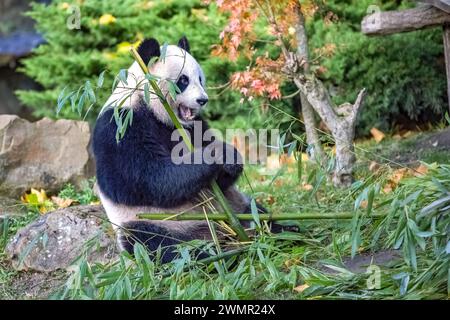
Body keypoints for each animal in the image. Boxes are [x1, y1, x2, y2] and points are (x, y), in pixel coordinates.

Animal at [93, 37, 284, 262]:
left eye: (200, 79)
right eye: (183, 80)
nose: (203, 100)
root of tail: (216, 232)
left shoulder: (195, 125)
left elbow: (218, 182)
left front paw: (232, 162)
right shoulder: (121, 125)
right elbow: (147, 177)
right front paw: (218, 154)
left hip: (237, 205)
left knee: (258, 213)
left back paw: (282, 230)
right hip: (154, 222)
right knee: (153, 243)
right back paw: (209, 255)